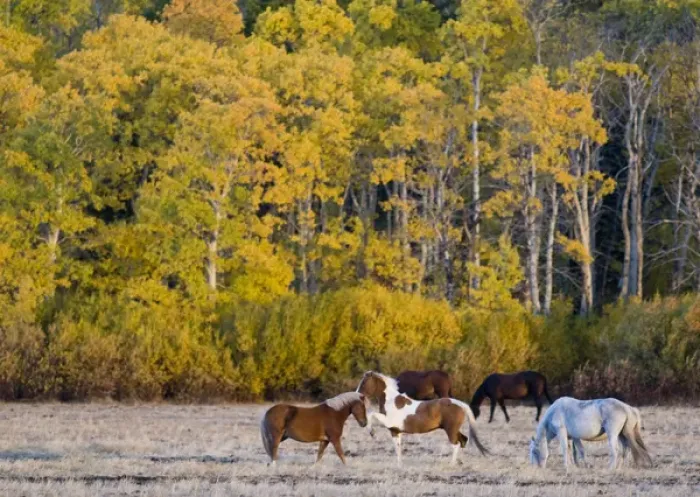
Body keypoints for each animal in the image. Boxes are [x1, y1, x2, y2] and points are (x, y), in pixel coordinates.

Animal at [356, 371, 488, 466]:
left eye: (364, 383)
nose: (357, 395)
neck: (391, 401)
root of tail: (460, 404)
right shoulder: (395, 431)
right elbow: (398, 447)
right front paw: (399, 465)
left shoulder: (389, 423)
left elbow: (371, 414)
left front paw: (372, 432)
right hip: (453, 429)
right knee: (463, 440)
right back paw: (459, 462)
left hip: (450, 430)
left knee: (456, 444)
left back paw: (451, 464)